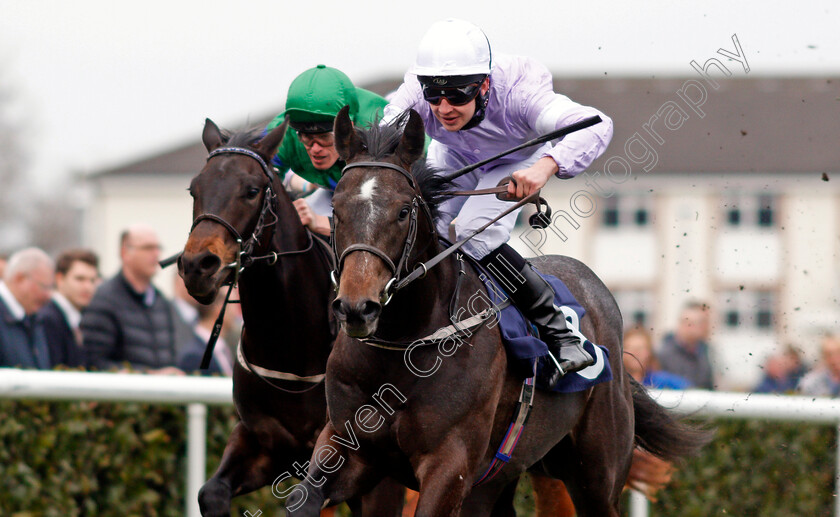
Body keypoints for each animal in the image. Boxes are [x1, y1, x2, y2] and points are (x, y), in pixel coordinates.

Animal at [178, 118, 404, 516]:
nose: (197, 266)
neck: (289, 344)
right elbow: (211, 492)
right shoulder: (262, 441)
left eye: (252, 190)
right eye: (194, 189)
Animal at [286, 107, 704, 512]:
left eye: (403, 211)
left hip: (595, 473)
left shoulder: (450, 465)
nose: (358, 308)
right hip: (497, 481)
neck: (403, 347)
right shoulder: (349, 447)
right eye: (336, 209)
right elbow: (301, 499)